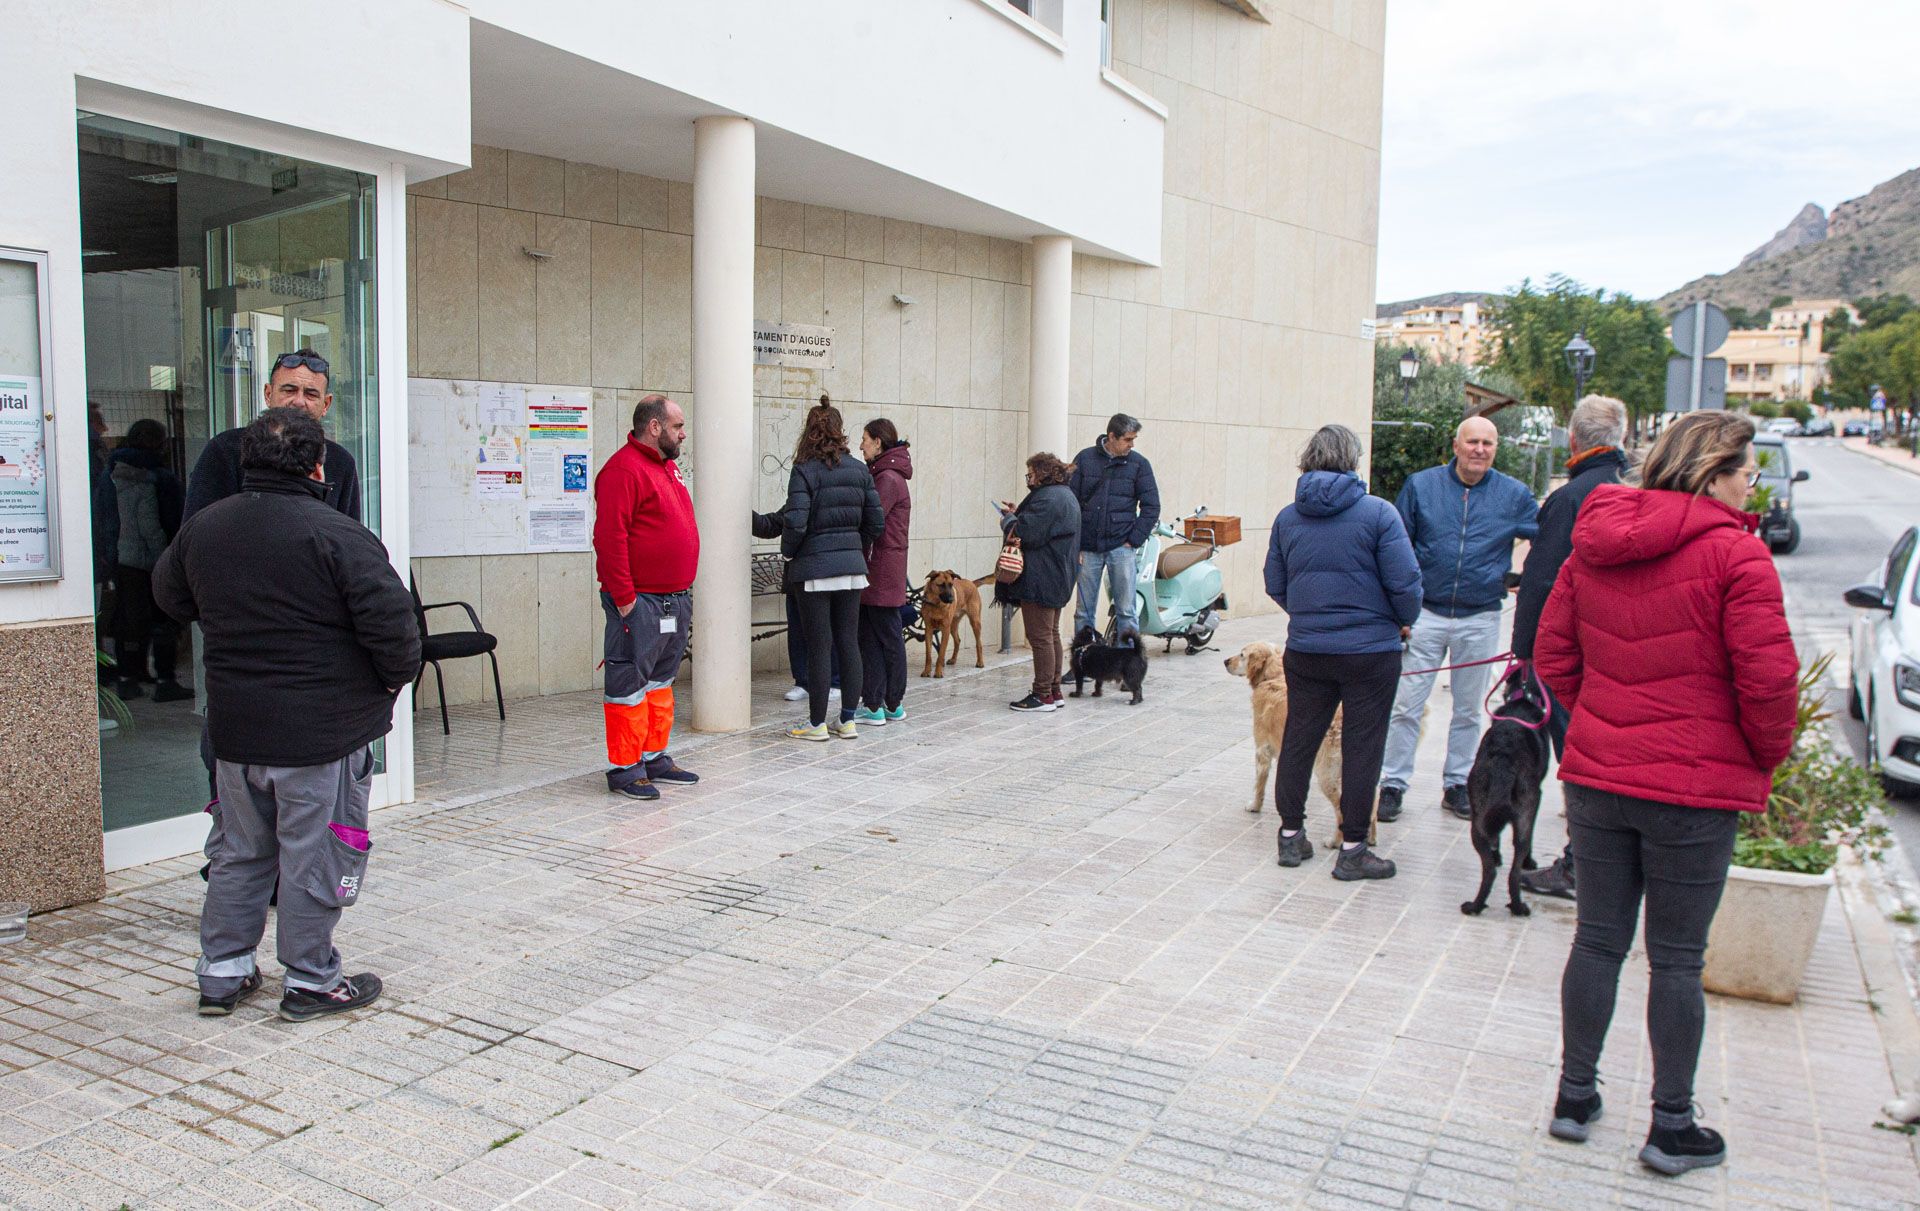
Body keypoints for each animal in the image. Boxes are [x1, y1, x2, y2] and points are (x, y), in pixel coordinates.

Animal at [1221, 641, 1374, 848]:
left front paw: (1255, 806)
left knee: (1342, 812)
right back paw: (1371, 838)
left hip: (1327, 775)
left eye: (1242, 655)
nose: (1225, 661)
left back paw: (1334, 841)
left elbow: (1259, 784)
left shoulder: (1262, 750)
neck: (1273, 677)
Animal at [1459, 667, 1551, 913]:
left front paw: (1497, 854)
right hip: (1525, 811)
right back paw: (1512, 906)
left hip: (1478, 817)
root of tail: (1504, 756)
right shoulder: (1536, 799)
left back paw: (1480, 905)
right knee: (1510, 870)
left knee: (1492, 867)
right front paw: (1530, 862)